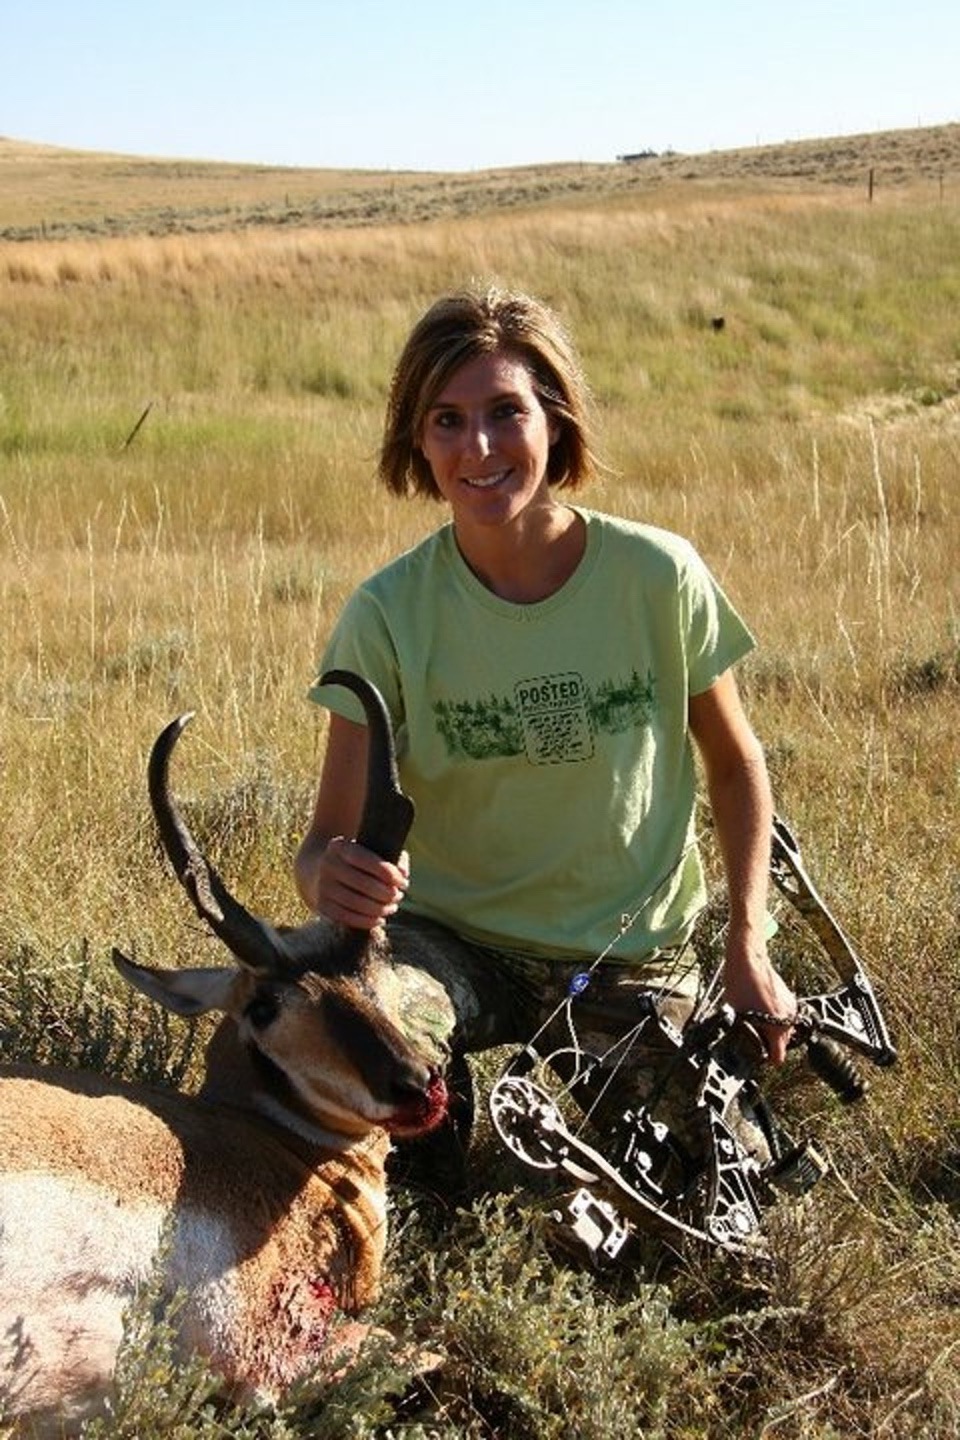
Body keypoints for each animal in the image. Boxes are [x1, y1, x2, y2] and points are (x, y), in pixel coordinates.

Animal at [0, 671, 449, 1428]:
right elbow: (429, 1357)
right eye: (263, 1007)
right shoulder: (273, 1356)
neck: (276, 1143)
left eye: (378, 953)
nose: (418, 1084)